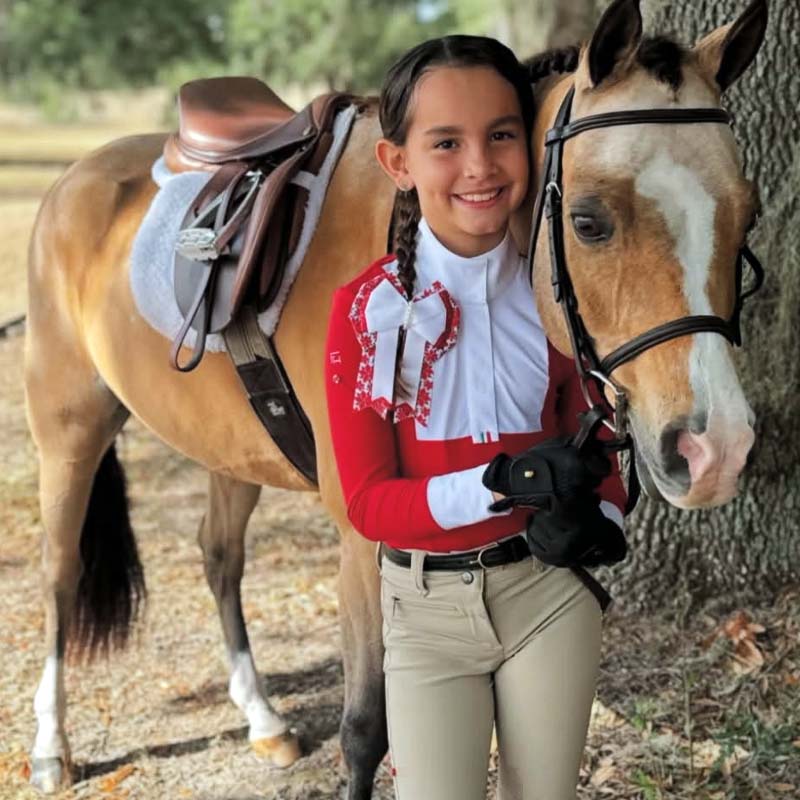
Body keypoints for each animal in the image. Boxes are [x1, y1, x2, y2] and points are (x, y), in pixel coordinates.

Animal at [22, 0, 767, 795]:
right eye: (589, 221)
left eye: (747, 218)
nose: (716, 449)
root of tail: (78, 177)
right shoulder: (362, 536)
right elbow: (367, 728)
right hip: (67, 431)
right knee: (60, 573)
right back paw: (50, 745)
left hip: (229, 446)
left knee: (218, 555)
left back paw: (263, 719)